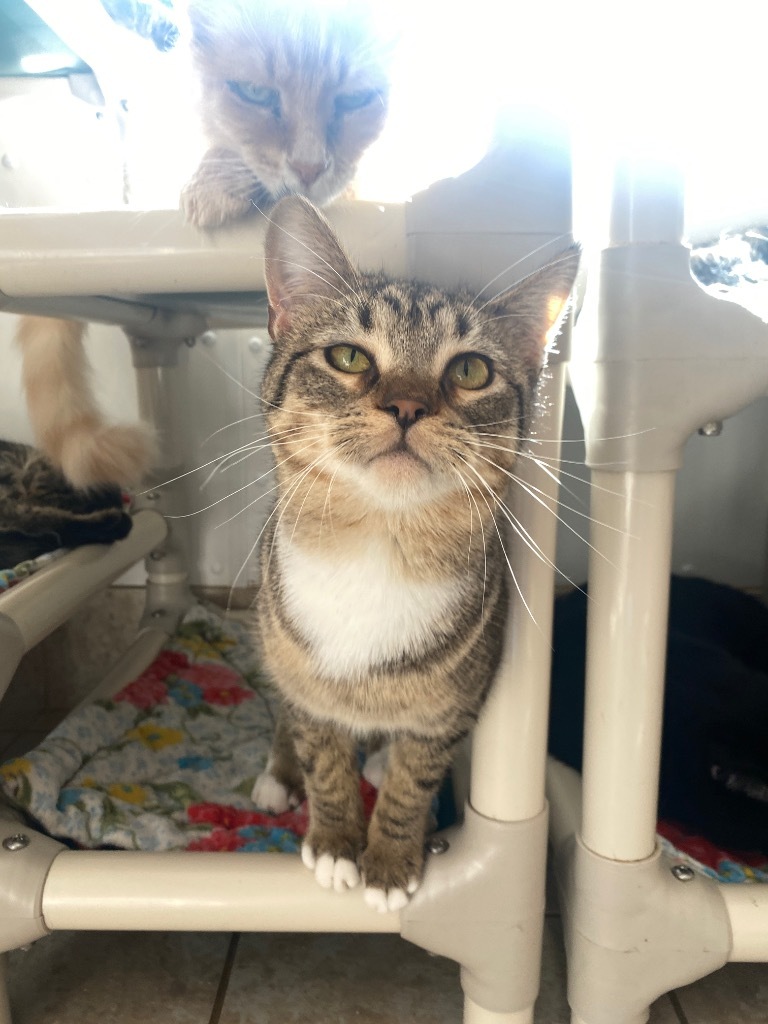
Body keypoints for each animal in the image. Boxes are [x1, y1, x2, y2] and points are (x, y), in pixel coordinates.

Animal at [250, 193, 577, 913]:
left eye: (471, 369)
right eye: (348, 356)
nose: (405, 405)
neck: (378, 545)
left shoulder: (449, 712)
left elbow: (412, 780)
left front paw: (391, 857)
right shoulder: (305, 685)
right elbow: (321, 754)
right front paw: (336, 839)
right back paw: (278, 773)